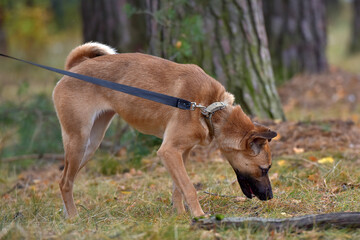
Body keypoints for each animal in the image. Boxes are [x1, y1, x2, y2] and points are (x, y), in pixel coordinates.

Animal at [52, 42, 278, 218]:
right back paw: (74, 218)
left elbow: (178, 189)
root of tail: (74, 68)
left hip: (91, 144)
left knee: (66, 181)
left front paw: (180, 216)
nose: (270, 197)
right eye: (264, 169)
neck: (209, 108)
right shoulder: (169, 151)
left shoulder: (180, 153)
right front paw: (199, 216)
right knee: (64, 182)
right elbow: (189, 188)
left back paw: (67, 215)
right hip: (79, 142)